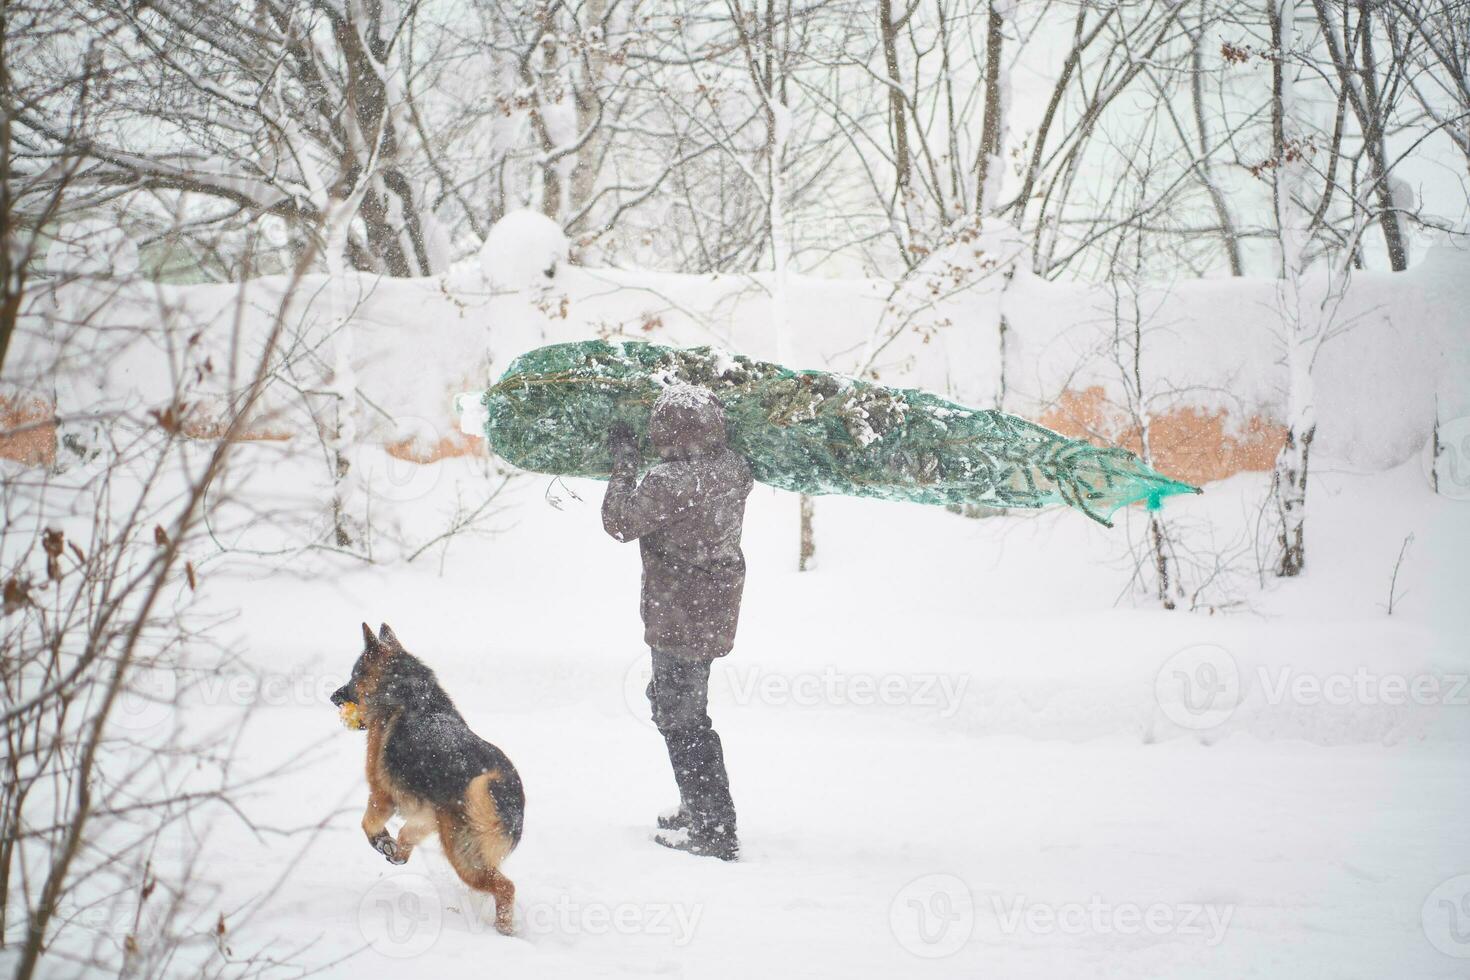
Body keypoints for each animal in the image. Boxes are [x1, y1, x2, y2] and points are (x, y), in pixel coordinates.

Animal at [330, 625, 526, 940]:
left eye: (354, 676)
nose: (332, 696)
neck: (407, 691)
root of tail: (503, 793)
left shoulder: (381, 794)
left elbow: (368, 823)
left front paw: (382, 842)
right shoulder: (429, 814)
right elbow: (407, 833)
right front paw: (397, 852)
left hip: (463, 855)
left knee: (506, 887)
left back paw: (504, 931)